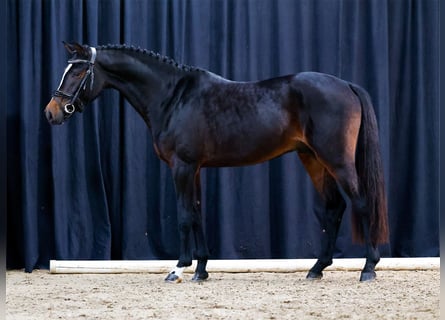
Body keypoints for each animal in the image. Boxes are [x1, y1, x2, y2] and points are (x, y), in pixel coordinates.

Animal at [43, 42, 386, 282]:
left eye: (77, 72)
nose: (51, 112)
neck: (173, 97)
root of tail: (345, 85)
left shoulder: (182, 166)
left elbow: (184, 216)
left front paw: (178, 269)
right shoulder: (194, 169)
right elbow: (196, 213)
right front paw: (201, 269)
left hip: (337, 160)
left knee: (361, 202)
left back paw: (368, 268)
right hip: (312, 159)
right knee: (334, 207)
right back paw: (317, 268)